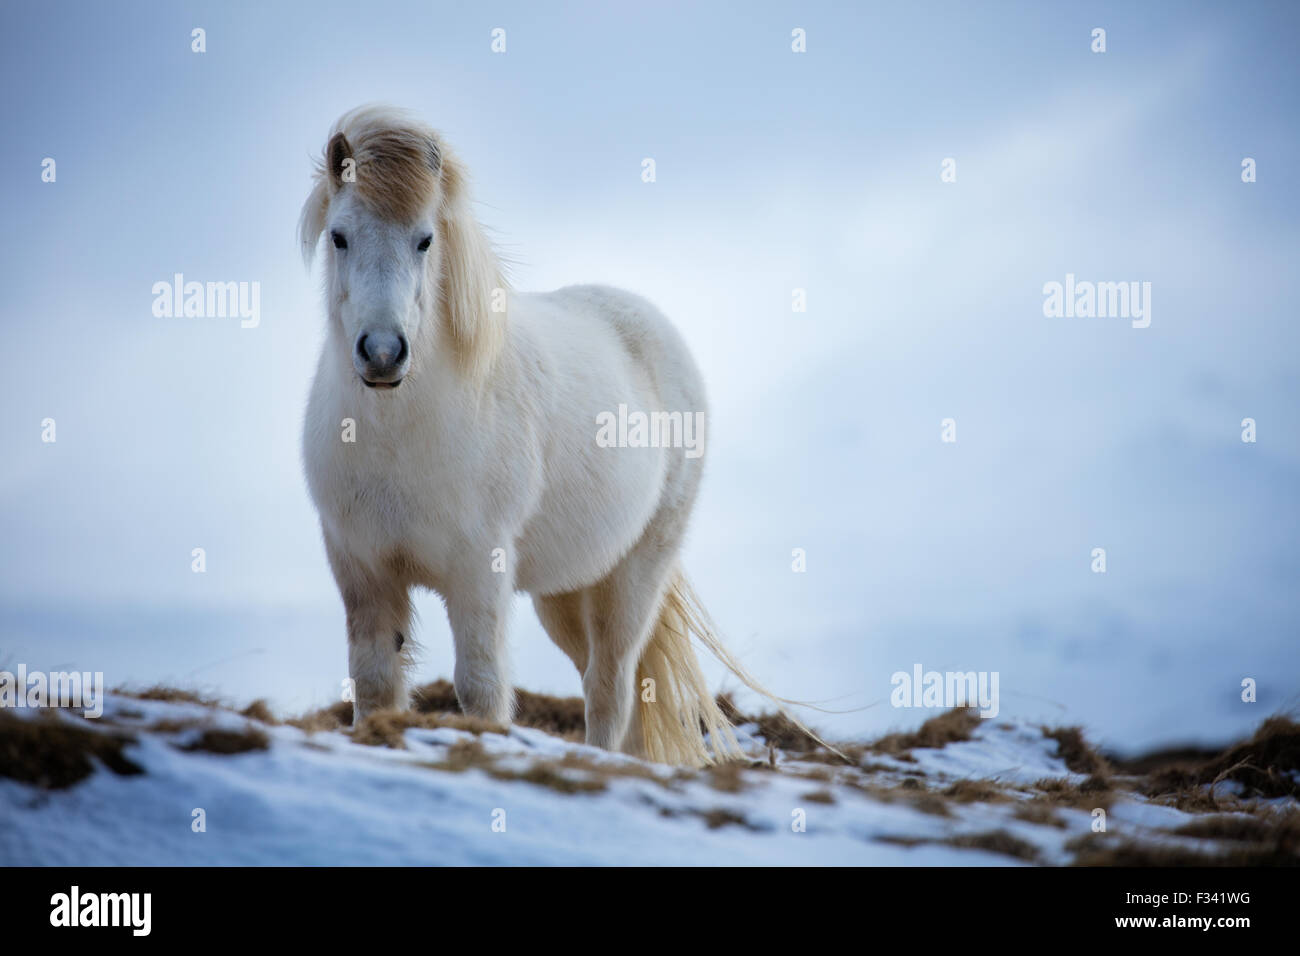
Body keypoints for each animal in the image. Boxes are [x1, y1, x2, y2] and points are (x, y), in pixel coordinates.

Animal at [298, 105, 789, 766]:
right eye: (339, 236)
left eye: (425, 239)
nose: (382, 353)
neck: (398, 434)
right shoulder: (362, 570)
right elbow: (375, 684)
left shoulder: (479, 573)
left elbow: (481, 688)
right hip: (566, 593)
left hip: (634, 576)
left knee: (610, 687)